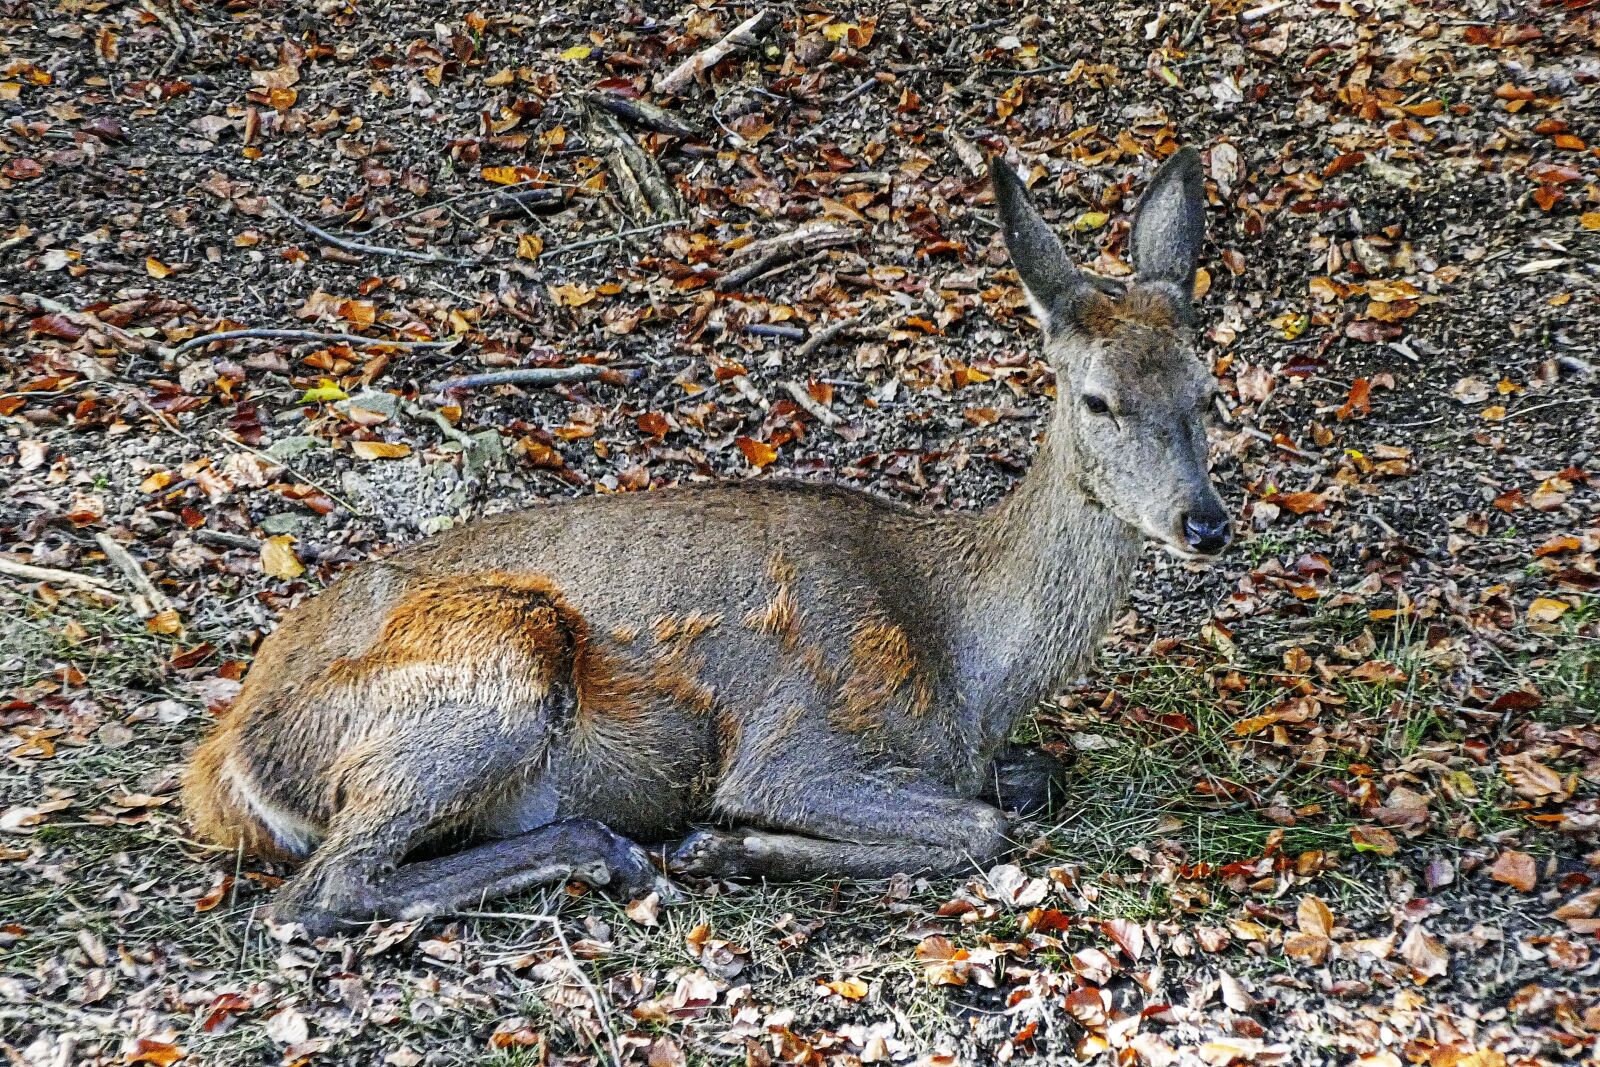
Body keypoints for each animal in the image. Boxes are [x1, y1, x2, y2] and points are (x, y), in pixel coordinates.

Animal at [182, 147, 1231, 935]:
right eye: (1098, 399)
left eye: (1207, 389)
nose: (1205, 522)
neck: (963, 662)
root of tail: (227, 765)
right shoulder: (795, 743)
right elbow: (980, 827)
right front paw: (723, 842)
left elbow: (1033, 780)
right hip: (489, 663)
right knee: (320, 890)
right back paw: (625, 850)